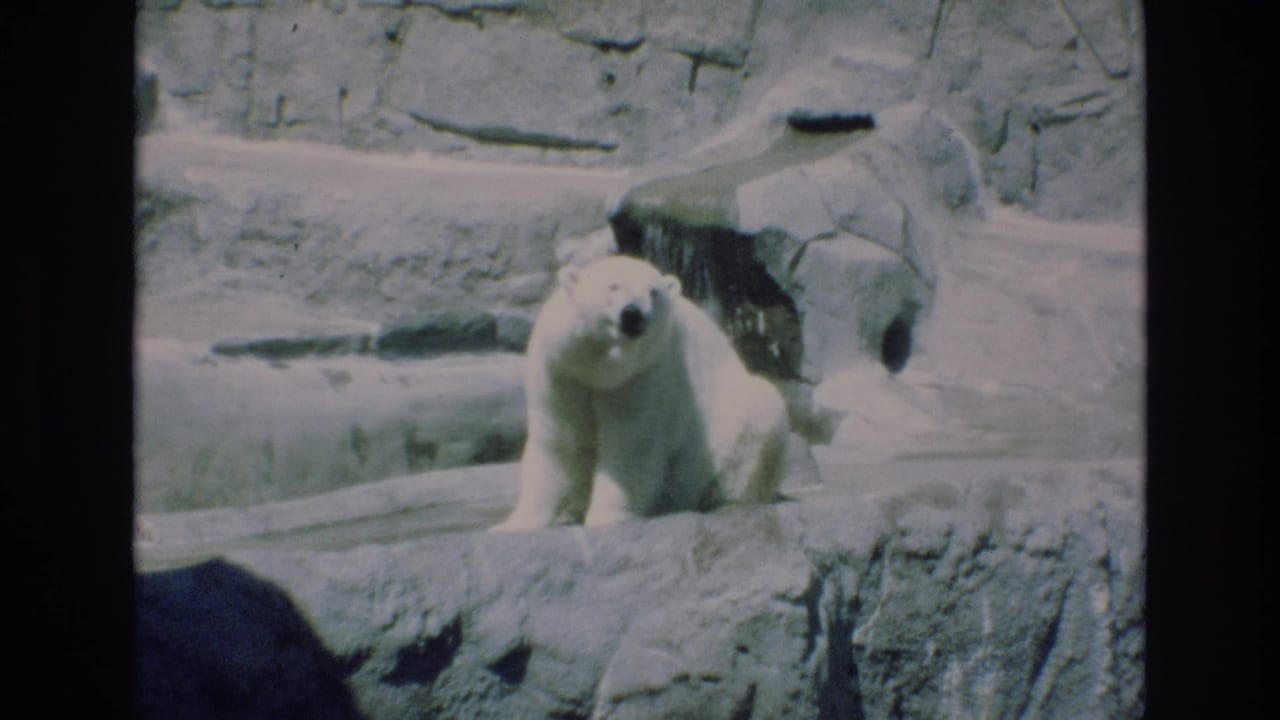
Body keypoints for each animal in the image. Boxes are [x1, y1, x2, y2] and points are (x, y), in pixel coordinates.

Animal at [493, 255, 789, 531]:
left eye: (653, 292)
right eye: (613, 286)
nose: (632, 313)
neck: (599, 368)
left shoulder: (644, 375)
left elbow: (629, 444)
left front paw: (607, 517)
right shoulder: (561, 370)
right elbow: (559, 442)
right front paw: (515, 524)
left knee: (757, 416)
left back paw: (717, 500)